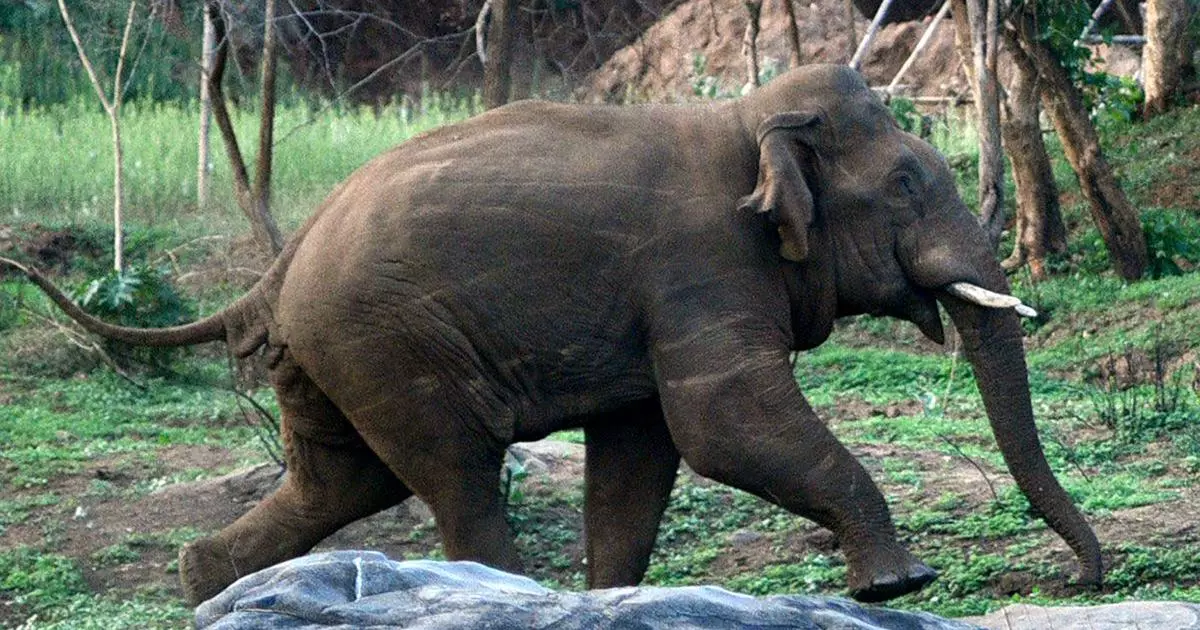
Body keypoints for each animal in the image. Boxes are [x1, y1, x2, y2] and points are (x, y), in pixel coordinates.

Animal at [2, 64, 1102, 606]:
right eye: (909, 184)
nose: (1083, 578)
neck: (747, 120)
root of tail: (285, 255)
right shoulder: (700, 262)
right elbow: (723, 424)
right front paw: (899, 586)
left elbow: (642, 452)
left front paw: (610, 597)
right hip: (388, 345)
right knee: (449, 472)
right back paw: (491, 588)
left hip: (332, 357)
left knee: (343, 483)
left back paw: (203, 583)